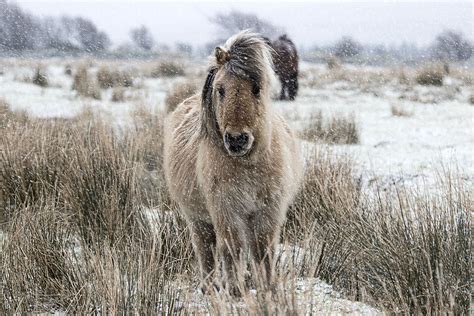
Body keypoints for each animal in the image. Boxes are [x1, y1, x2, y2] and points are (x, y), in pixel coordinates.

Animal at [163, 30, 302, 294]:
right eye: (220, 90)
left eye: (256, 88)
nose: (237, 139)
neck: (248, 165)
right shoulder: (226, 210)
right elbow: (232, 249)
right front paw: (235, 289)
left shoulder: (268, 211)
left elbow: (263, 250)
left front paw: (267, 289)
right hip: (199, 219)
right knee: (206, 249)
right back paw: (210, 287)